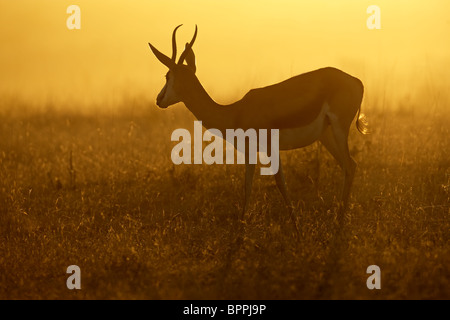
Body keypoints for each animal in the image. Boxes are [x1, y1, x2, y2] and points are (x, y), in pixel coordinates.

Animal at [149, 25, 370, 215]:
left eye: (167, 76)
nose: (159, 99)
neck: (235, 112)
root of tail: (357, 81)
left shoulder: (270, 148)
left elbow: (281, 184)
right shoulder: (250, 152)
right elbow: (247, 187)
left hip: (339, 130)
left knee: (350, 166)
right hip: (326, 135)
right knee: (348, 166)